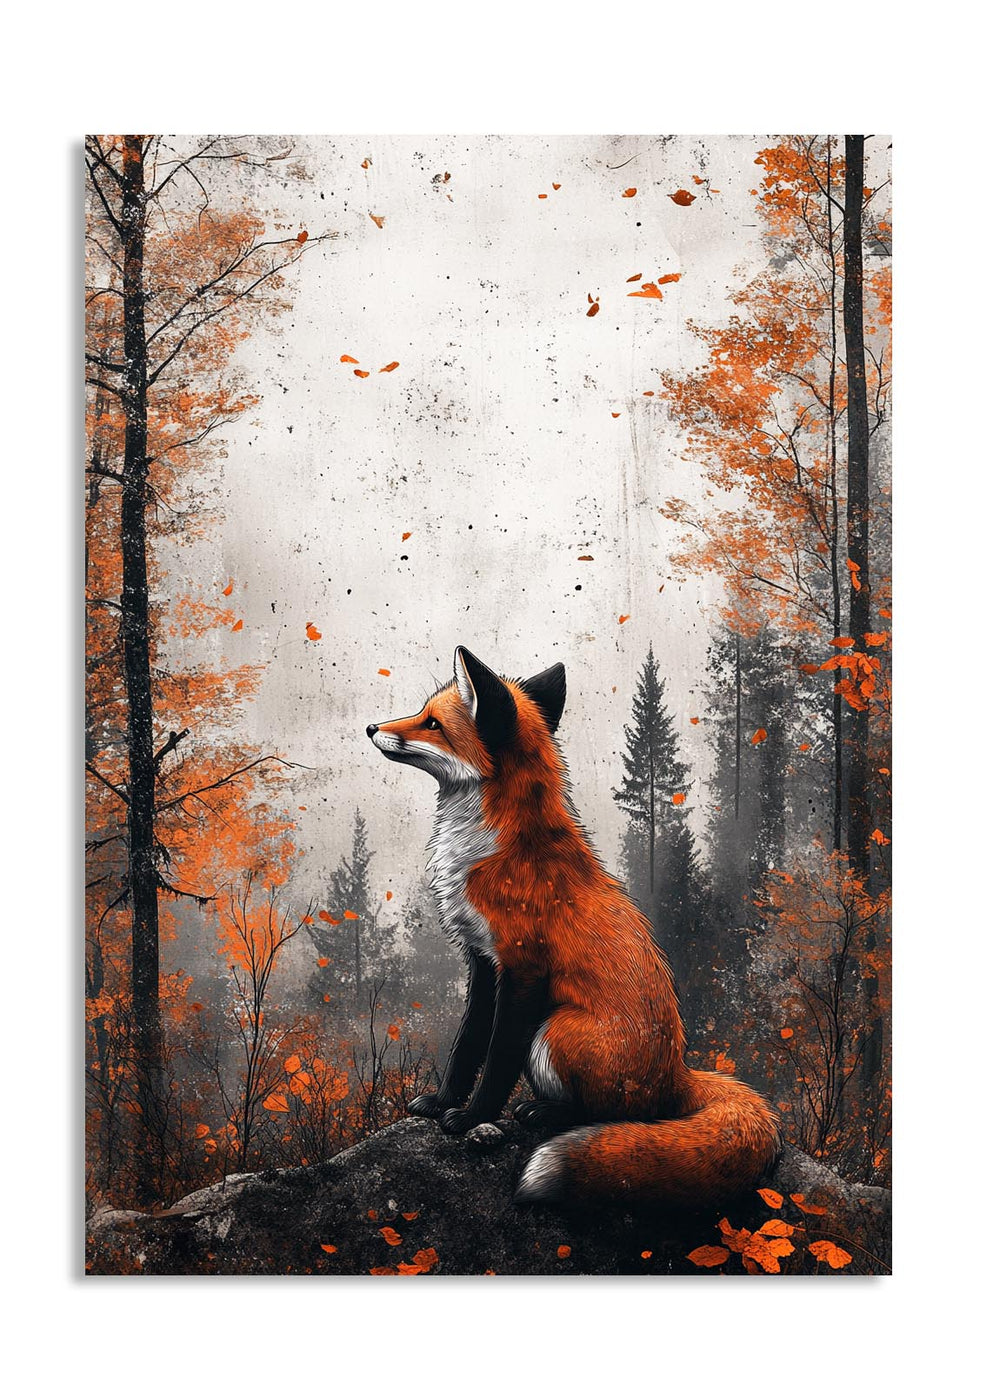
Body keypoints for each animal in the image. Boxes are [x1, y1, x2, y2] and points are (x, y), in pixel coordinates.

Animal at [366, 646, 781, 1205]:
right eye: (421, 711)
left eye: (432, 723)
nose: (370, 727)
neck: (487, 849)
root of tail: (677, 1077)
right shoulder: (482, 960)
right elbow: (467, 1043)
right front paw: (440, 1101)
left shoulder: (522, 968)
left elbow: (496, 1057)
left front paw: (472, 1117)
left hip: (554, 1031)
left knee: (613, 1115)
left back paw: (544, 1112)